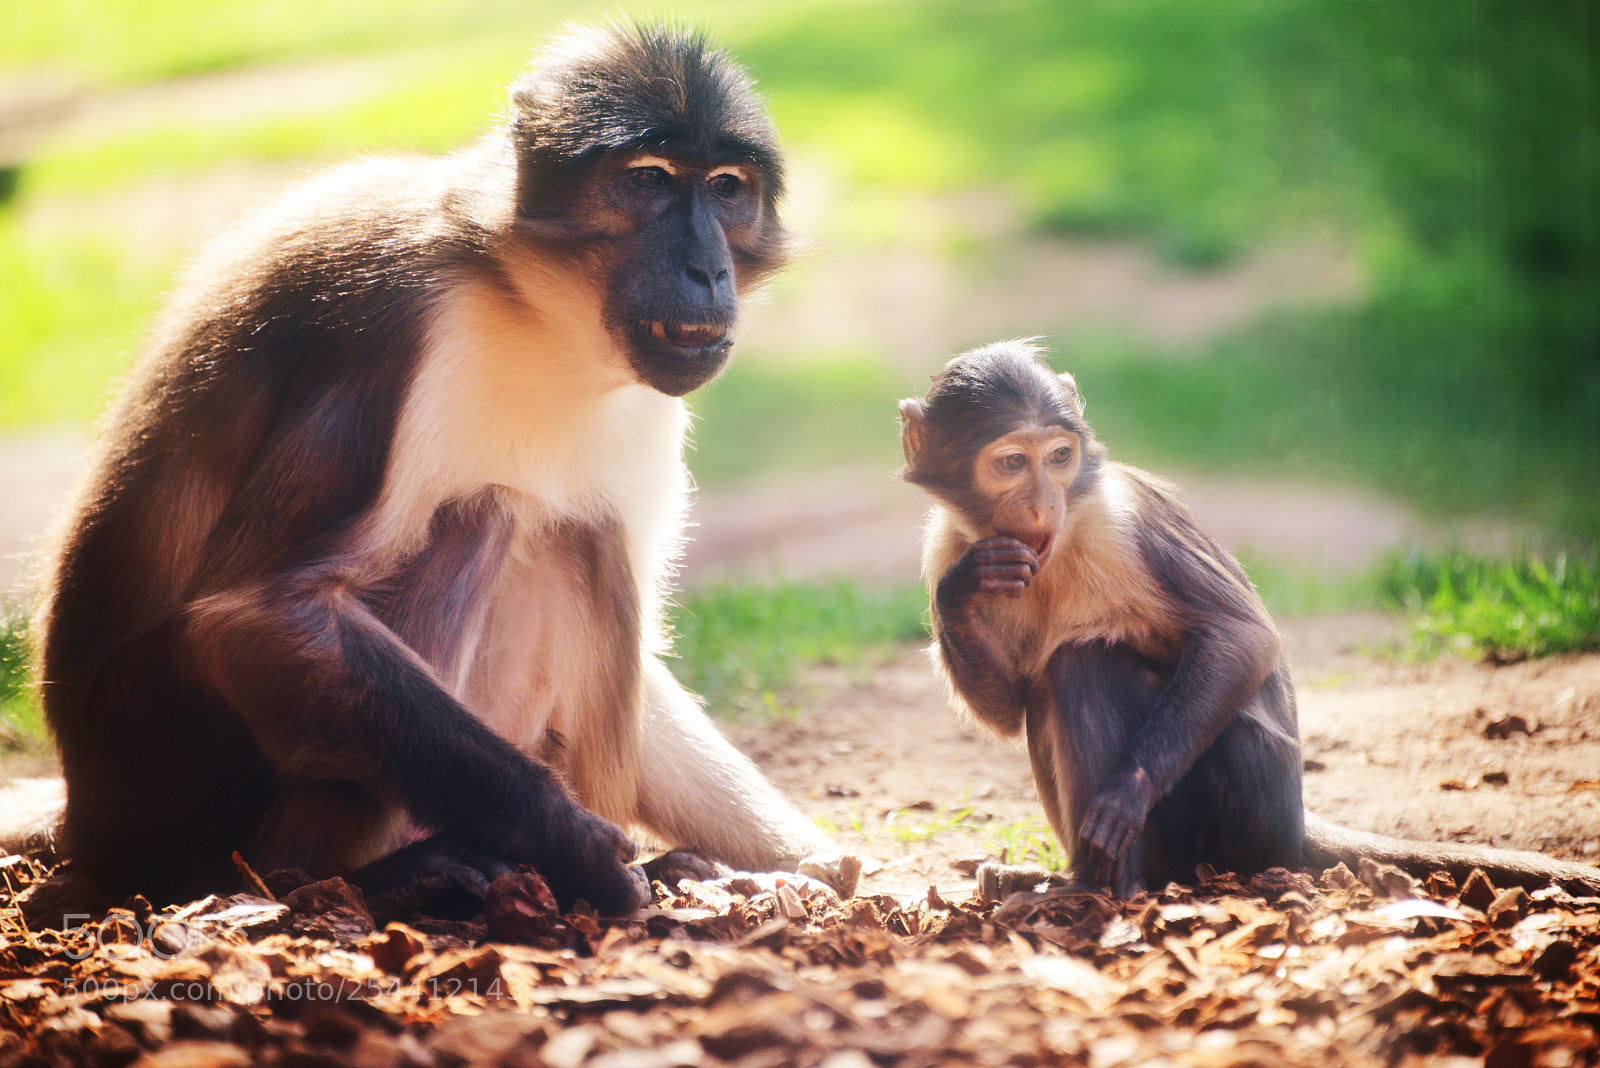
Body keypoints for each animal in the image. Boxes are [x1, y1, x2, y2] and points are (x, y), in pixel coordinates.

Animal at [13, 23, 849, 916]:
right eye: (649, 181)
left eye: (727, 189)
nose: (706, 270)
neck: (529, 306)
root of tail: (88, 822)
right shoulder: (398, 321)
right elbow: (254, 613)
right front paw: (572, 841)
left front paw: (819, 869)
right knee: (499, 513)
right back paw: (365, 878)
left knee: (582, 527)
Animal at [899, 340, 1600, 899]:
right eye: (1012, 463)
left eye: (1059, 457)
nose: (1045, 504)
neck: (1062, 542)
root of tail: (1297, 822)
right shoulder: (948, 544)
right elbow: (1007, 707)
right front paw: (960, 593)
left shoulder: (1125, 519)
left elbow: (1244, 639)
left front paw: (1126, 792)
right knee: (1055, 679)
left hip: (1251, 811)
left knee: (1081, 662)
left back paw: (1110, 887)